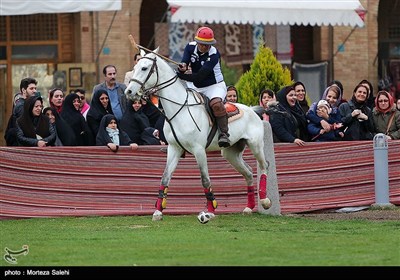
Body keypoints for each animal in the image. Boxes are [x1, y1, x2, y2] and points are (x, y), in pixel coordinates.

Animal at [126, 48, 272, 223]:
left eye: (144, 68)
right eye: (135, 67)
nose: (129, 92)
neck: (179, 109)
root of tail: (253, 109)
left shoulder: (199, 150)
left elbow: (205, 180)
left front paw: (209, 212)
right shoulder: (173, 149)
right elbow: (165, 178)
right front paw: (158, 211)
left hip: (256, 145)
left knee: (264, 166)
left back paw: (265, 201)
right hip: (230, 153)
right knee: (249, 173)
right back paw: (249, 207)